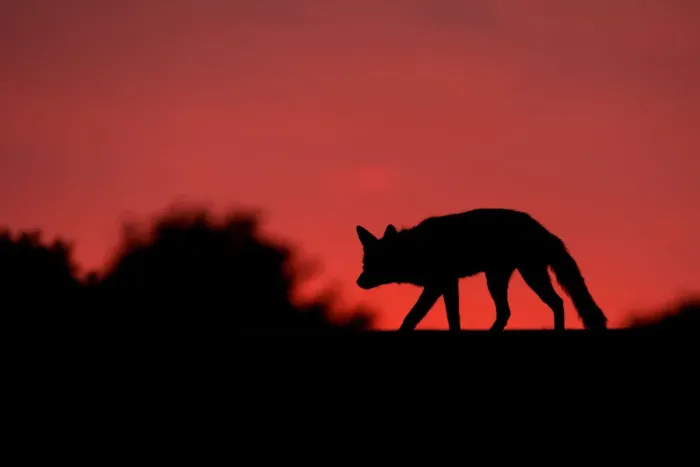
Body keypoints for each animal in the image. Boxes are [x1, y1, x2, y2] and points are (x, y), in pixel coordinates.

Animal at [355, 208, 607, 331]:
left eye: (374, 264)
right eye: (365, 265)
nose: (358, 281)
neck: (418, 248)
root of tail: (542, 229)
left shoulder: (438, 283)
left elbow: (414, 315)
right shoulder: (448, 284)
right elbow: (452, 317)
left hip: (529, 277)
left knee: (558, 303)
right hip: (497, 281)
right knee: (506, 312)